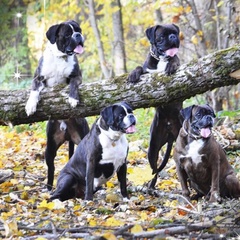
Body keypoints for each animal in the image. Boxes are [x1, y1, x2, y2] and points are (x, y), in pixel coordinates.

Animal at [24, 20, 90, 189]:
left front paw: (73, 99)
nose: (78, 35)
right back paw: (48, 187)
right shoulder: (38, 78)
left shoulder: (76, 76)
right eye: (67, 34)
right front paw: (30, 105)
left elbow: (72, 85)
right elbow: (34, 90)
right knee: (51, 168)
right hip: (50, 148)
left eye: (79, 30)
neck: (61, 57)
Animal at [127, 23, 182, 188]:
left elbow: (174, 60)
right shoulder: (147, 71)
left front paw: (171, 65)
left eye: (175, 32)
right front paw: (133, 74)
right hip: (152, 149)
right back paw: (151, 185)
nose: (173, 37)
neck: (161, 59)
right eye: (162, 36)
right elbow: (139, 67)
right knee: (155, 169)